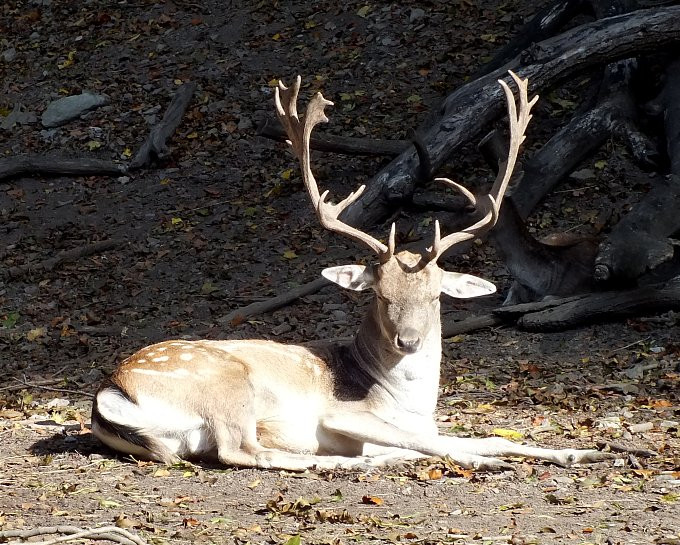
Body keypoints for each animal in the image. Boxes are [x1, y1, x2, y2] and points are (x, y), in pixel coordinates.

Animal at [87, 73, 612, 472]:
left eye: (436, 296)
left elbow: (486, 436)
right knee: (244, 451)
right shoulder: (344, 414)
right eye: (380, 294)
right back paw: (350, 463)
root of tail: (109, 392)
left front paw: (584, 452)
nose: (409, 340)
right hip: (225, 386)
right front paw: (486, 461)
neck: (407, 402)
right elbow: (441, 443)